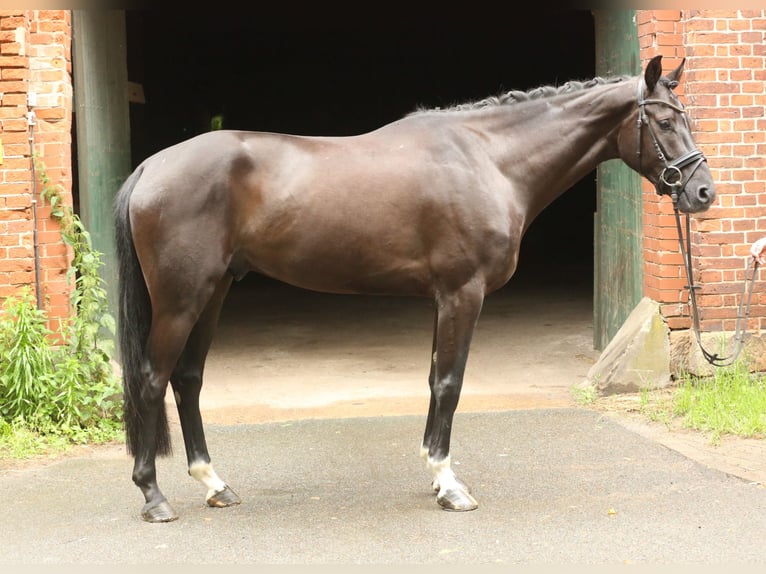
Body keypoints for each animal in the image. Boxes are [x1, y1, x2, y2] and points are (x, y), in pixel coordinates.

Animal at [115, 56, 720, 524]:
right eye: (664, 121)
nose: (702, 192)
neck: (489, 158)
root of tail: (150, 167)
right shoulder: (462, 293)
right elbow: (450, 383)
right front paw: (450, 486)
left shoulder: (443, 298)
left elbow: (433, 380)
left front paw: (436, 476)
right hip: (180, 301)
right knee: (151, 379)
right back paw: (153, 496)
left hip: (213, 292)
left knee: (188, 380)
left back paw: (214, 484)